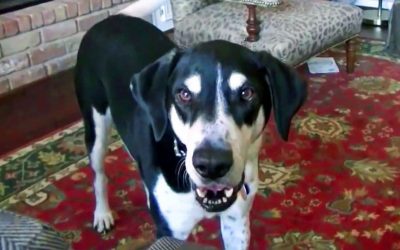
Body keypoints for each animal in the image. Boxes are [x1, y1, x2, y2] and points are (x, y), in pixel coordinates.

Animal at [75, 14, 306, 250]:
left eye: (247, 93)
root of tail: (109, 19)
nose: (212, 164)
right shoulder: (169, 232)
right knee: (99, 175)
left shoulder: (237, 222)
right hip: (95, 126)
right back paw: (102, 214)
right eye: (184, 94)